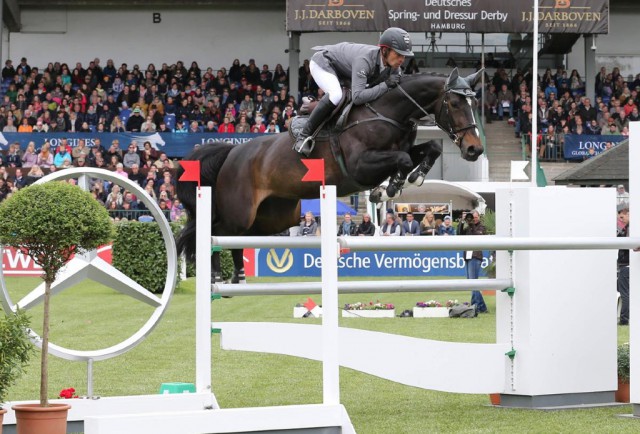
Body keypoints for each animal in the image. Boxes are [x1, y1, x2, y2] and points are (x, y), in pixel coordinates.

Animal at [178, 68, 482, 284]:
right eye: (455, 103)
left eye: (473, 103)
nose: (474, 149)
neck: (389, 112)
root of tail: (231, 153)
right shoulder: (360, 165)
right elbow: (403, 159)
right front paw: (390, 187)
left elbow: (429, 149)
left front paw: (410, 179)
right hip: (240, 212)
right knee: (216, 233)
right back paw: (217, 277)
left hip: (273, 216)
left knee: (239, 240)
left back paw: (238, 278)